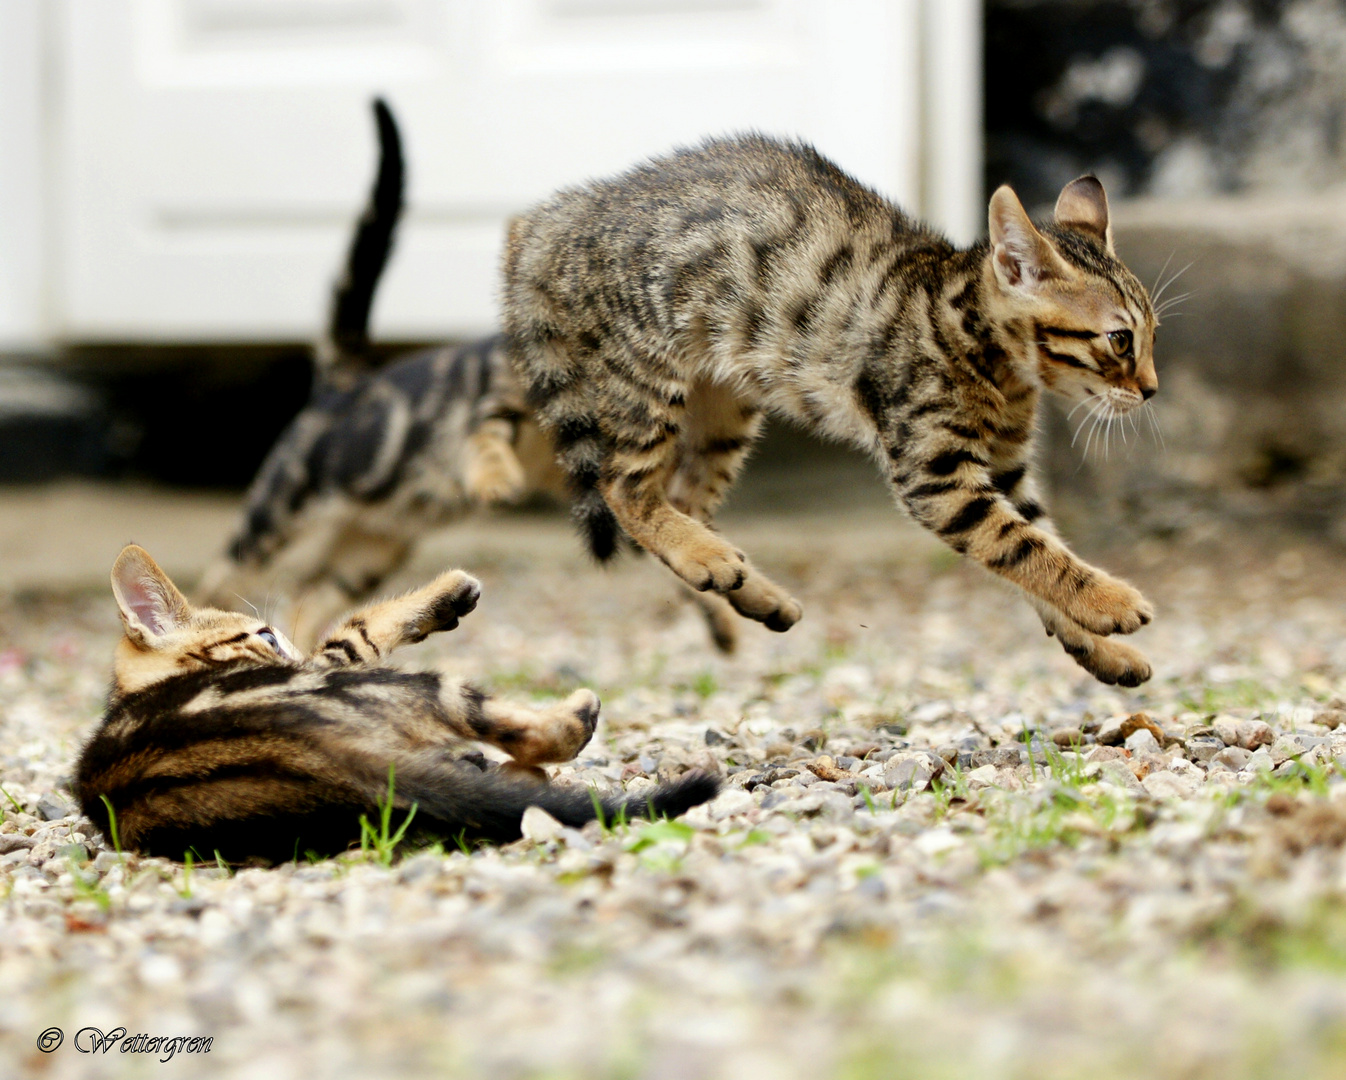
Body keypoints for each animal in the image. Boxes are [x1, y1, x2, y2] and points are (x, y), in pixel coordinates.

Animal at [75, 546, 721, 856]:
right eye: (263, 637)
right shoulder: (332, 659)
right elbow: (359, 627)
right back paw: (575, 717)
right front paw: (447, 594)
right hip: (423, 686)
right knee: (523, 734)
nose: (285, 643)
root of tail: (317, 751)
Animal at [503, 132, 1157, 681]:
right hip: (646, 377)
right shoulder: (936, 476)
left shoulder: (1005, 469)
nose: (1151, 389)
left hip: (722, 409)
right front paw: (1110, 601)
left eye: (1152, 336)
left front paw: (1095, 644)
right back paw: (704, 555)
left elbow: (1034, 543)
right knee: (624, 489)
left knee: (682, 499)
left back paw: (744, 585)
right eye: (1119, 340)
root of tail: (557, 215)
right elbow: (1024, 546)